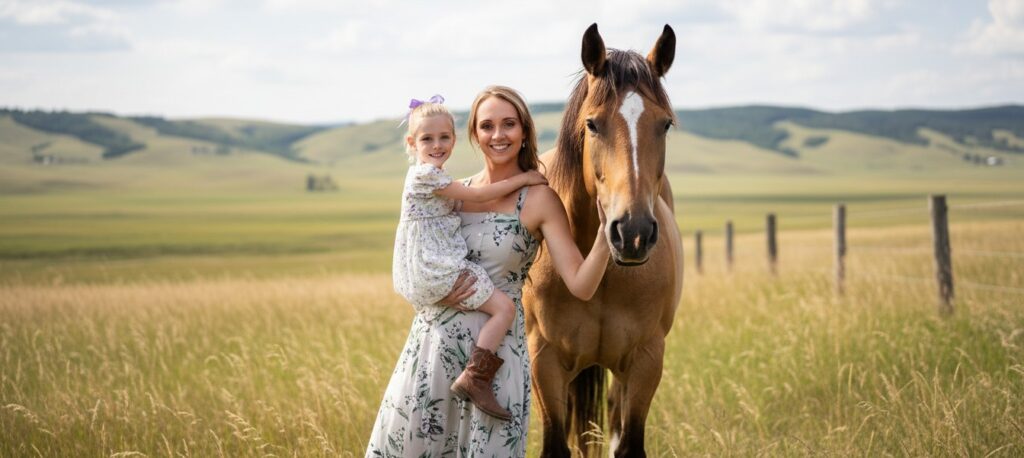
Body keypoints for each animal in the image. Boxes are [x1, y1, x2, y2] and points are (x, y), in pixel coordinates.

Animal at [523, 24, 684, 457]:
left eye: (665, 124)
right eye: (593, 124)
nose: (633, 233)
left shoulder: (646, 360)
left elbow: (628, 445)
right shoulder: (544, 359)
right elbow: (556, 444)